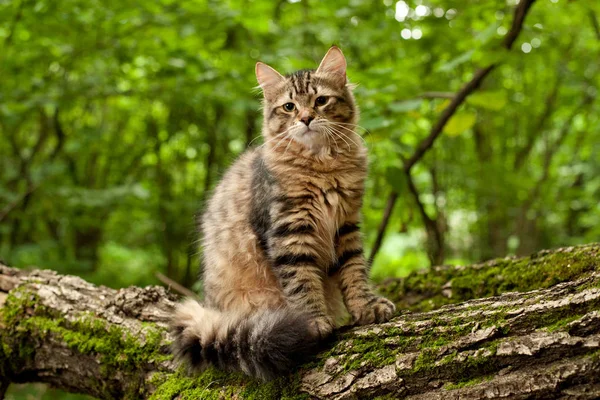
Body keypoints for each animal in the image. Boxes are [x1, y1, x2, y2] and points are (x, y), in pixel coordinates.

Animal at [171, 45, 396, 380]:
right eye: (289, 107)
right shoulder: (289, 232)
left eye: (320, 101)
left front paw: (365, 307)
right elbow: (302, 282)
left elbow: (355, 272)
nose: (305, 118)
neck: (322, 165)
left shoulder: (346, 227)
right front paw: (313, 322)